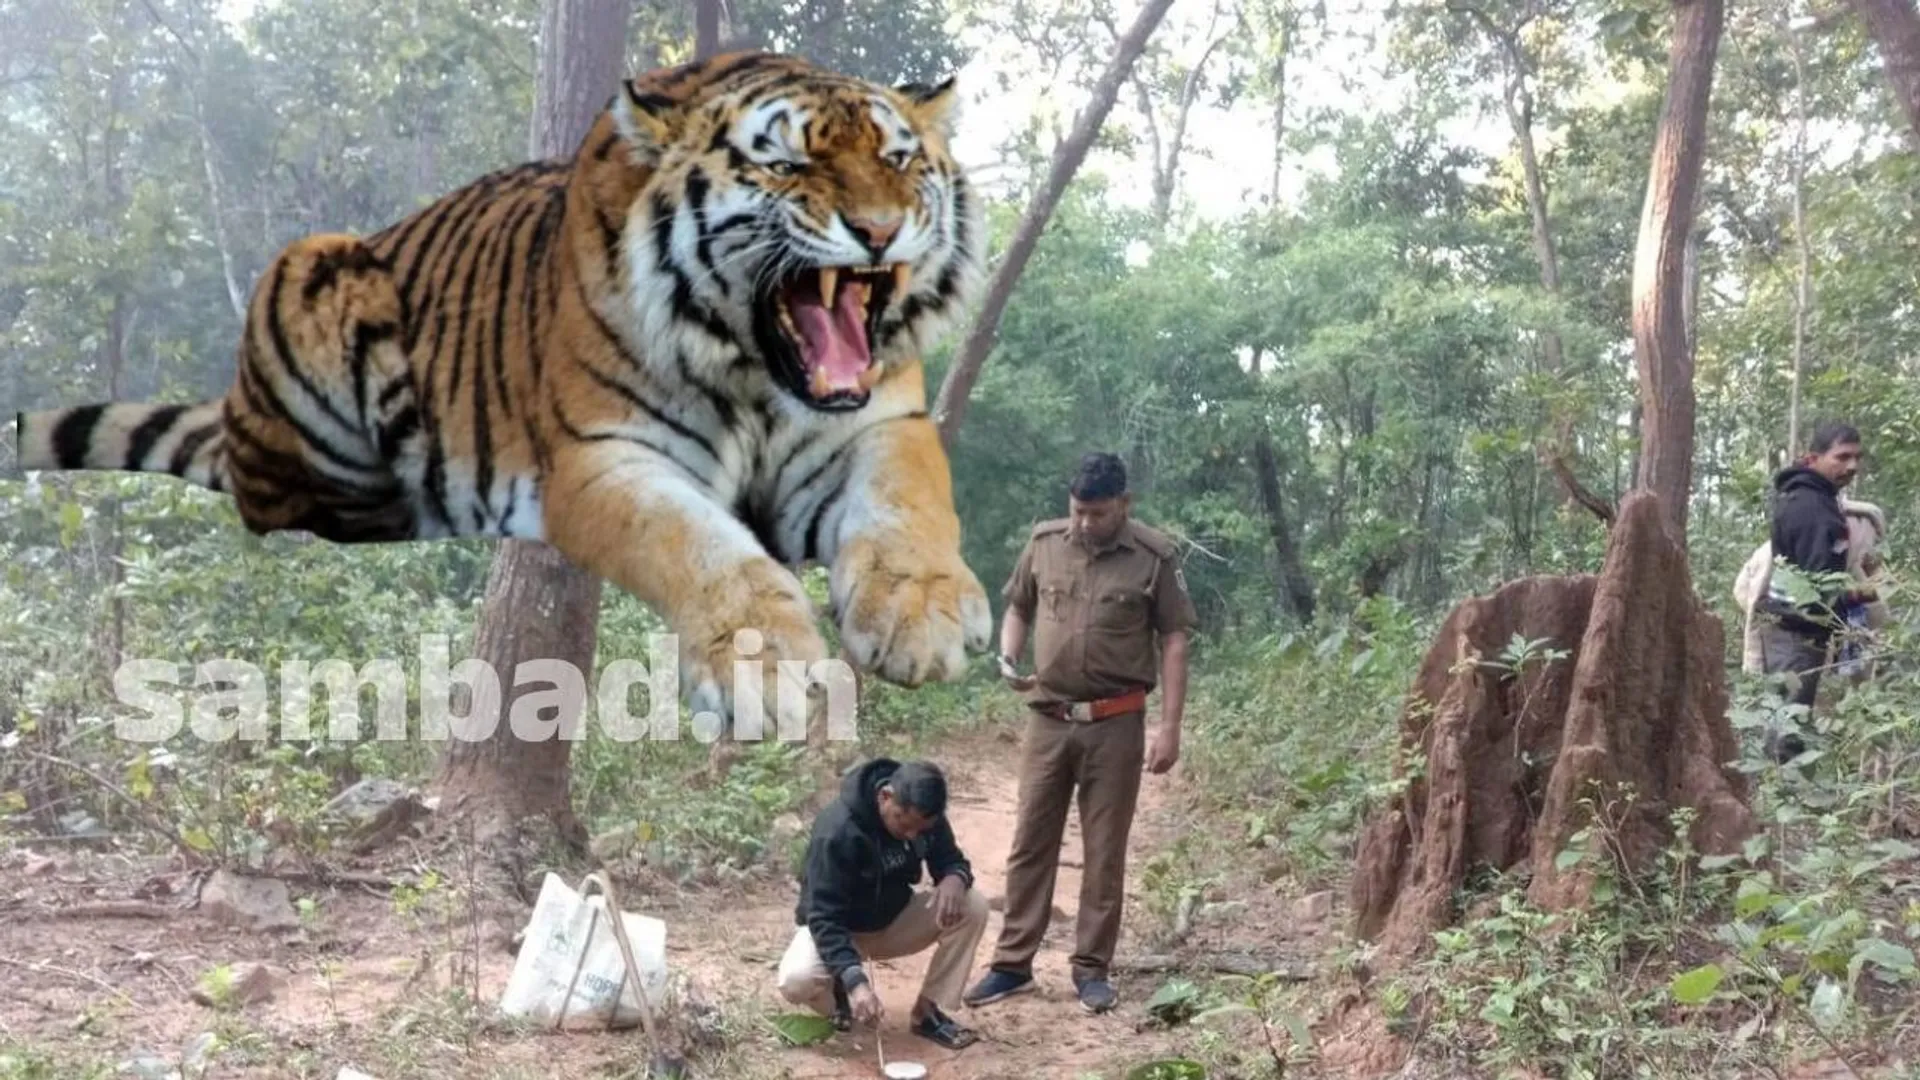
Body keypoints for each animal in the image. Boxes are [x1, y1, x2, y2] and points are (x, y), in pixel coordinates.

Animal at [9, 50, 995, 737]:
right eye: (786, 167)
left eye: (900, 161)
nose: (879, 231)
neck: (756, 372)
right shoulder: (604, 457)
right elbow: (700, 546)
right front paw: (766, 671)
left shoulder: (880, 423)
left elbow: (909, 504)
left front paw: (924, 615)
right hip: (311, 271)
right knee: (282, 502)